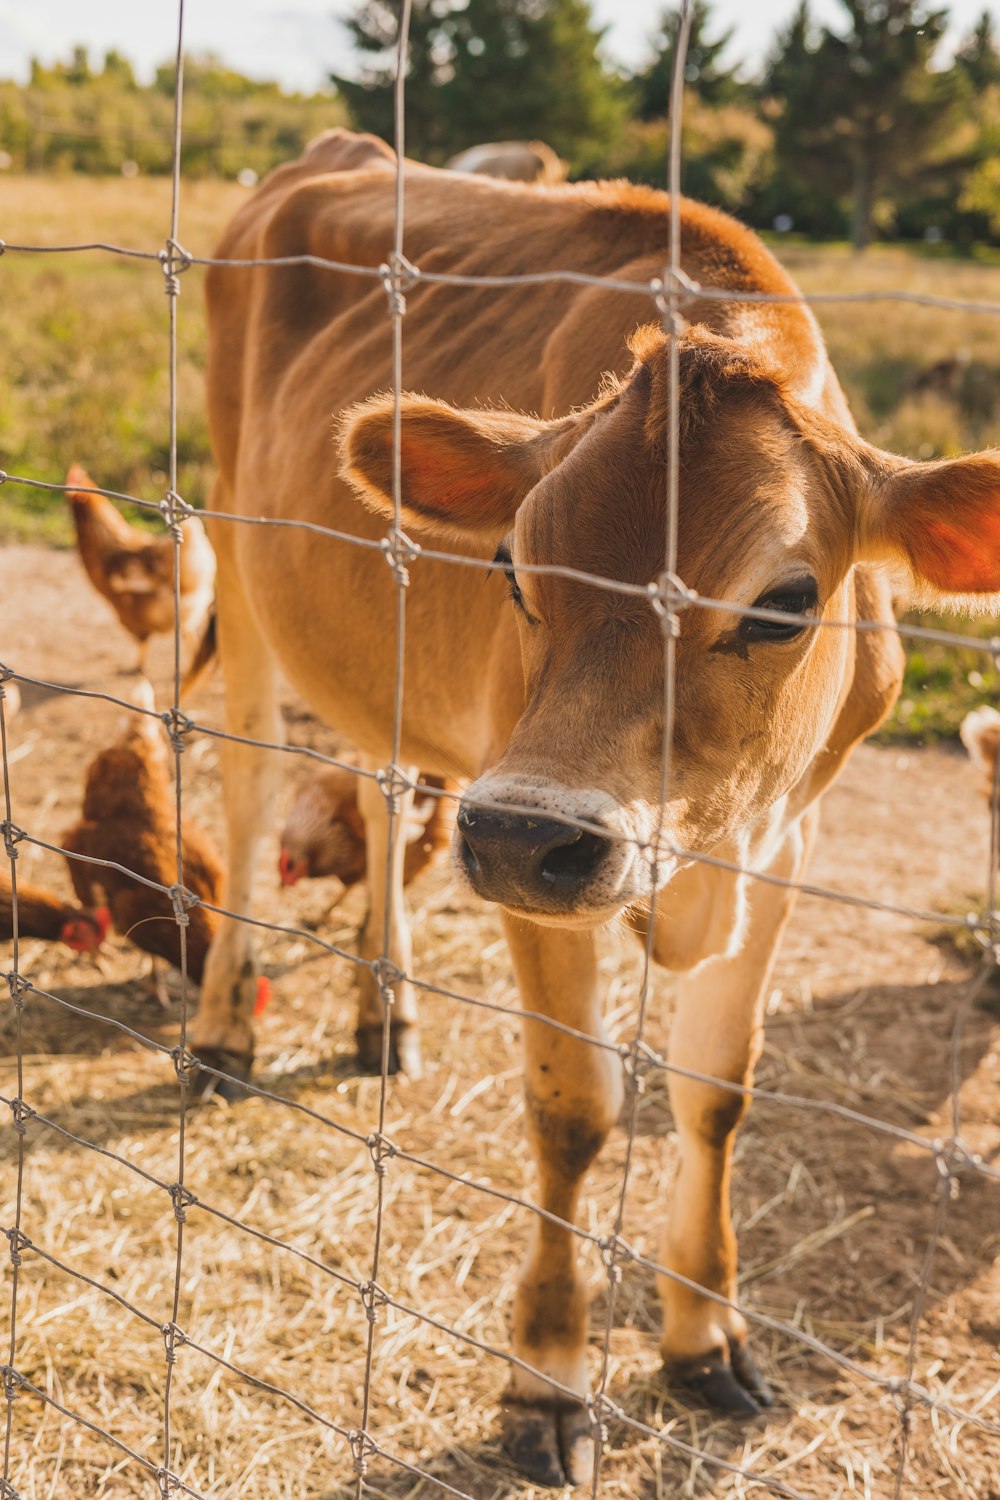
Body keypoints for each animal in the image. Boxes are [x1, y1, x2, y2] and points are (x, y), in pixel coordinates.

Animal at [193, 132, 1000, 1488]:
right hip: (243, 567)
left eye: (786, 601)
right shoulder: (529, 847)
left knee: (379, 787)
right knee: (249, 800)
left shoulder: (784, 843)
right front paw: (547, 1381)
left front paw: (702, 1338)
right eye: (513, 562)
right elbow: (576, 1116)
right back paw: (219, 1031)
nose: (526, 836)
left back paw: (383, 1008)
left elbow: (715, 1094)